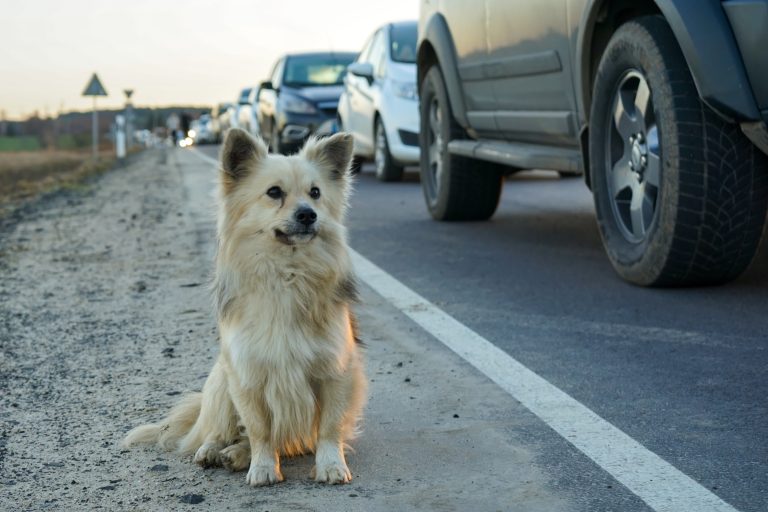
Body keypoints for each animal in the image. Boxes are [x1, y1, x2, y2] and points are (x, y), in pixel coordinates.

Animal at [122, 130, 366, 486]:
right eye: (274, 192)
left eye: (316, 193)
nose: (308, 214)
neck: (287, 273)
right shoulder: (247, 375)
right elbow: (259, 430)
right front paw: (263, 468)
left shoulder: (336, 370)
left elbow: (329, 428)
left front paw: (331, 464)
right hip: (220, 381)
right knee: (223, 431)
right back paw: (216, 451)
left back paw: (235, 455)